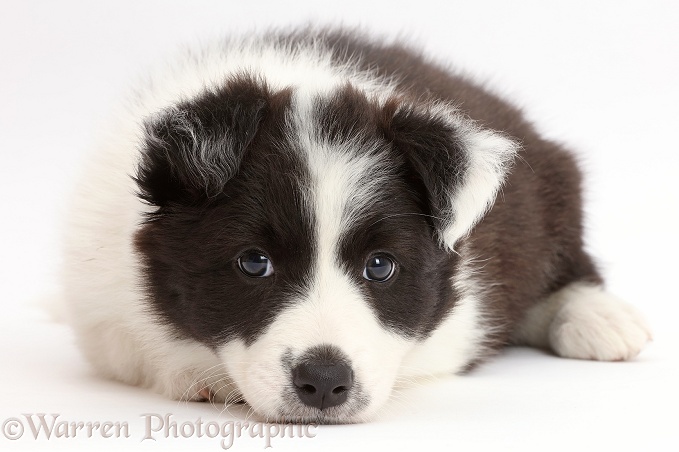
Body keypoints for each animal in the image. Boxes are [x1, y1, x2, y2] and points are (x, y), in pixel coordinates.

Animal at [63, 28, 652, 424]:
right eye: (254, 263)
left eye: (380, 267)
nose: (324, 383)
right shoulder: (98, 301)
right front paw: (203, 377)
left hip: (552, 186)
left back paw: (599, 317)